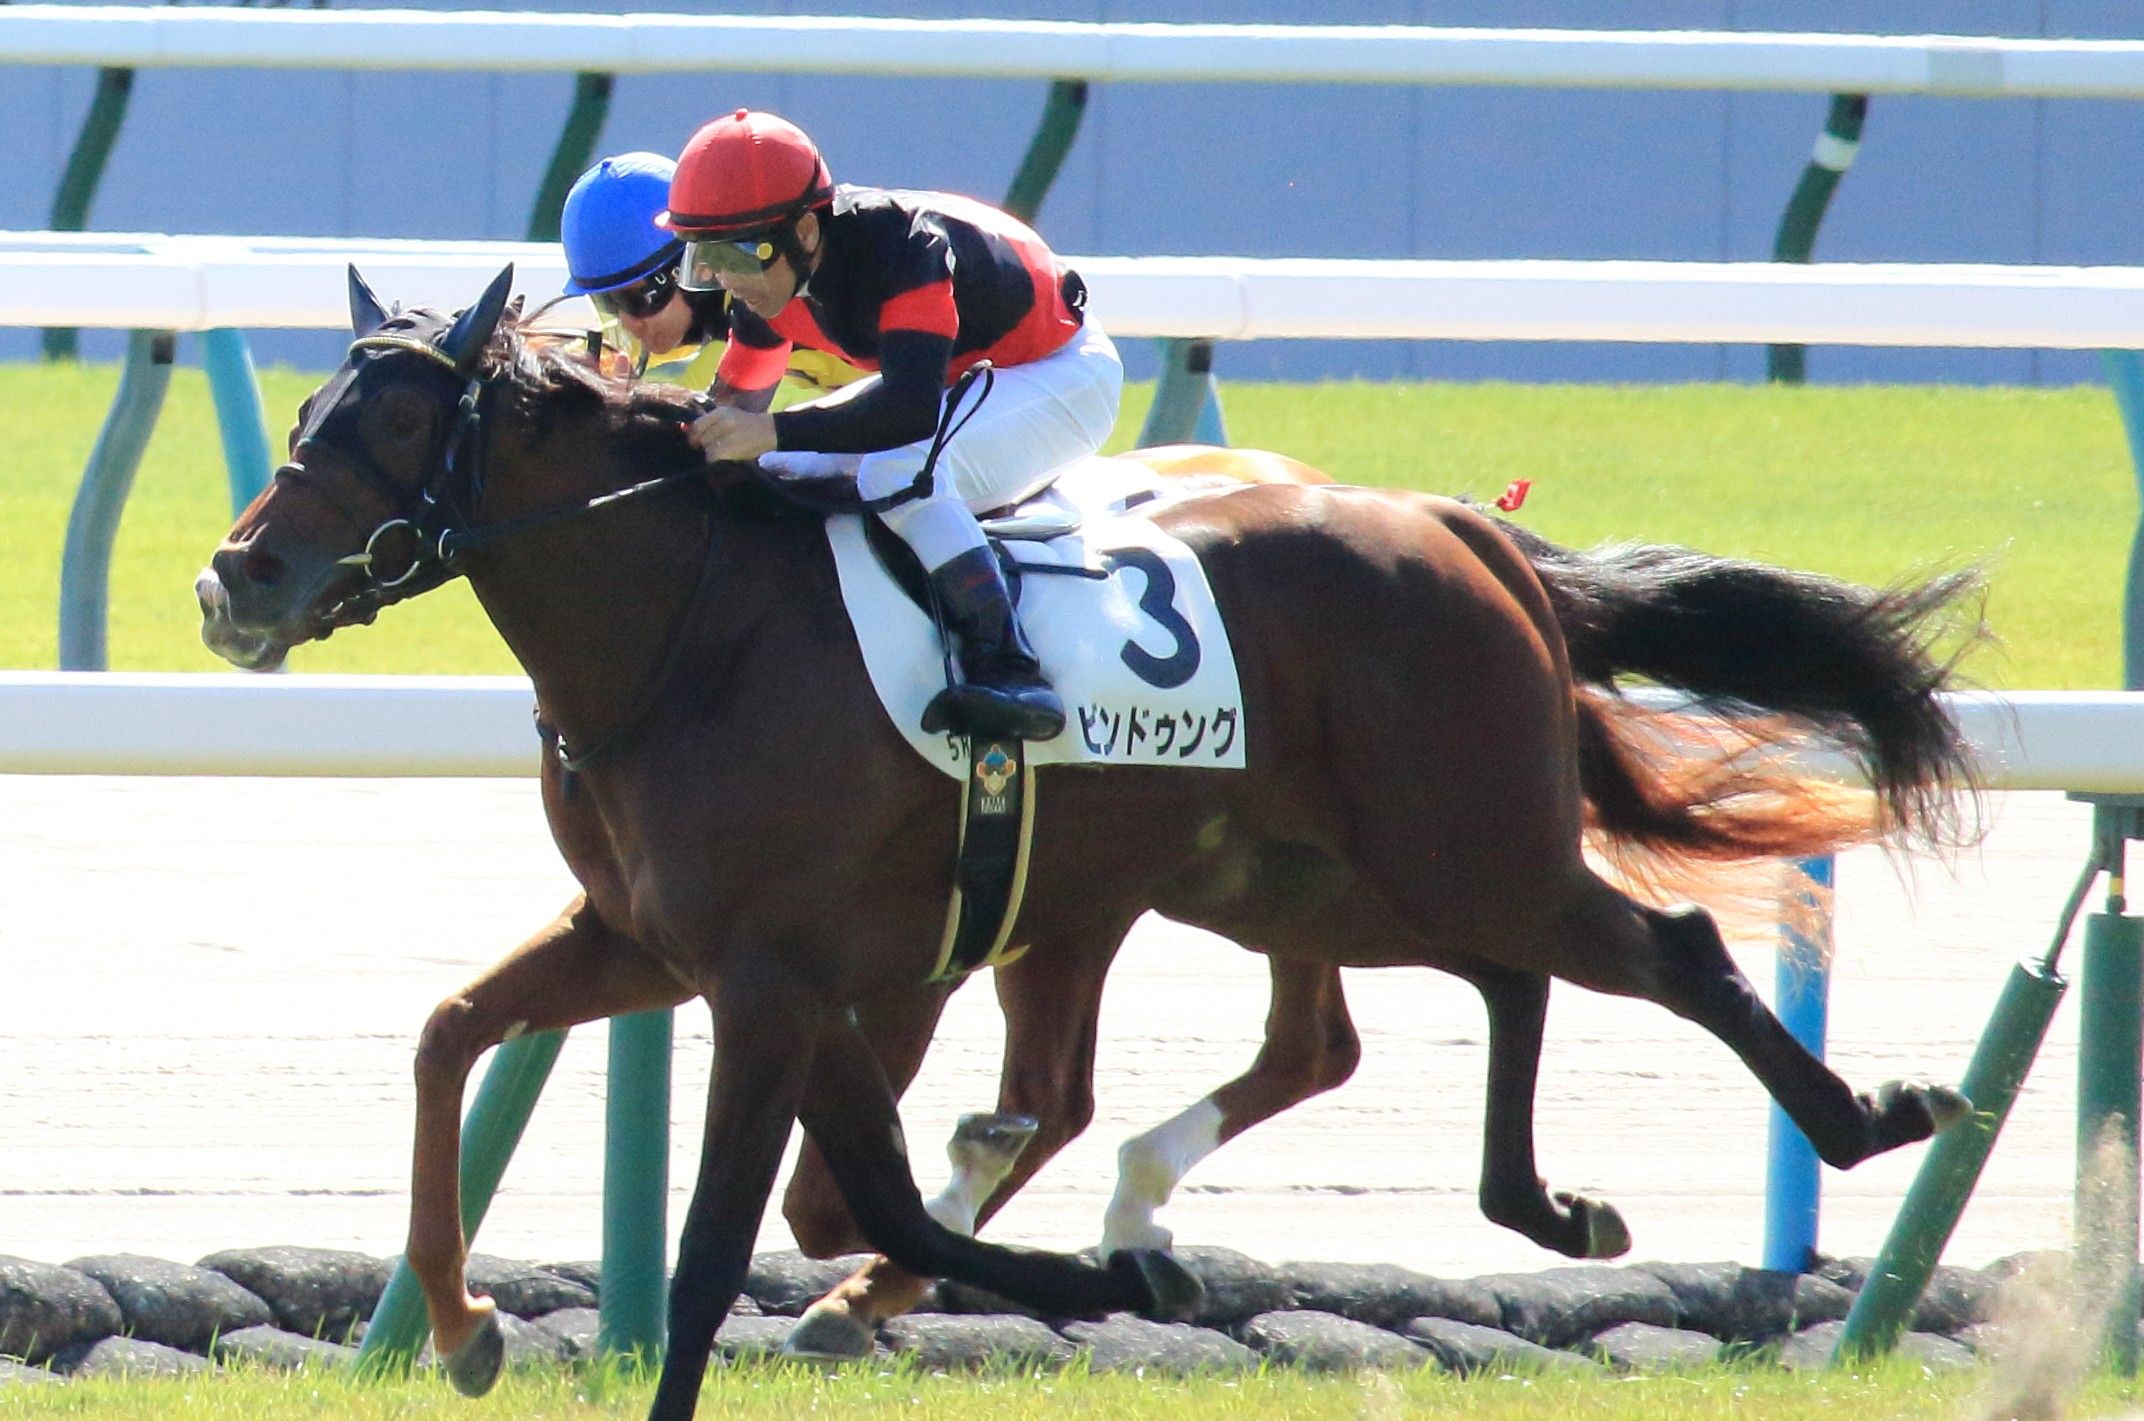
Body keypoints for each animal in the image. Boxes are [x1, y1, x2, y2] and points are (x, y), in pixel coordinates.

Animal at [198, 267, 1980, 1420]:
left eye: (395, 418)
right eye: (311, 403)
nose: (235, 579)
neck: (687, 632)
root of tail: (1449, 525)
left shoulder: (771, 980)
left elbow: (727, 1247)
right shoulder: (668, 944)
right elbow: (456, 1039)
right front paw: (464, 1326)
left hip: (1464, 840)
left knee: (1664, 949)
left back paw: (1875, 1114)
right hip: (1307, 871)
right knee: (1462, 991)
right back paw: (1540, 1204)